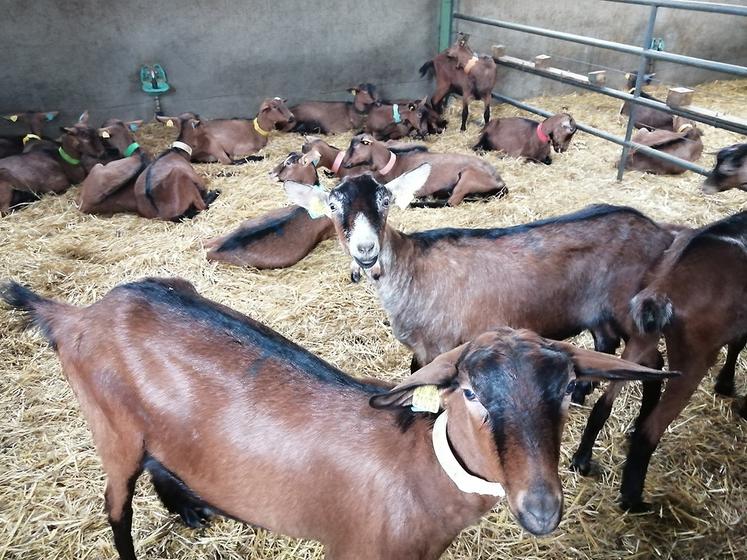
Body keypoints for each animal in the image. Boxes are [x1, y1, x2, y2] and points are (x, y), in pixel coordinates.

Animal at [0, 277, 674, 559]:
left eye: (567, 390)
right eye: (470, 392)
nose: (540, 509)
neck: (414, 469)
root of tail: (80, 317)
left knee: (163, 464)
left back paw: (190, 509)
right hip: (111, 430)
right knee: (115, 505)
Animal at [156, 98, 294, 163]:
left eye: (283, 104)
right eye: (274, 107)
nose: (292, 117)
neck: (255, 130)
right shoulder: (242, 149)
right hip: (213, 145)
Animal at [285, 167, 675, 393]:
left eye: (385, 201)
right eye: (333, 206)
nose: (366, 249)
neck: (412, 268)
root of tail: (660, 232)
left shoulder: (442, 346)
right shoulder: (421, 350)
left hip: (633, 311)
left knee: (652, 363)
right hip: (599, 312)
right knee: (605, 342)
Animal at [341, 134, 506, 206]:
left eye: (355, 147)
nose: (344, 164)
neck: (394, 164)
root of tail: (500, 182)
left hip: (467, 178)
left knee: (451, 202)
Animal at [570, 211, 746, 511]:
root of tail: (664, 288)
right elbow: (738, 344)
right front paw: (727, 386)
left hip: (641, 335)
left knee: (607, 401)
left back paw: (582, 459)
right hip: (693, 359)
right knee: (650, 431)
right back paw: (635, 501)